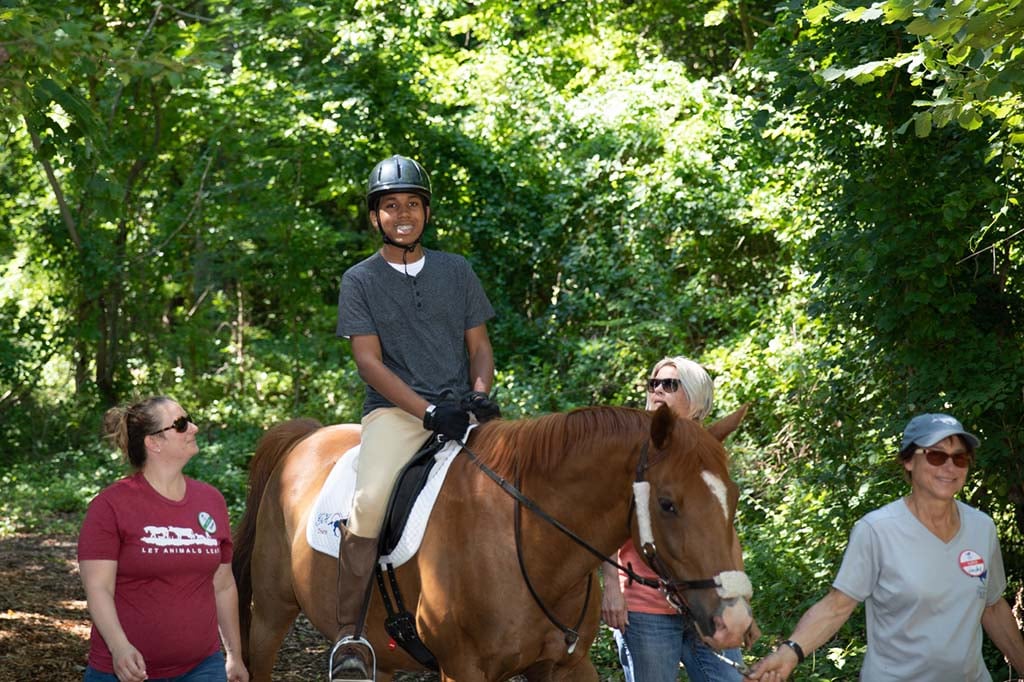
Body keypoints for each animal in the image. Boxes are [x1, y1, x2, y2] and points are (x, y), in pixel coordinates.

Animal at [235, 405, 757, 675]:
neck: (532, 543)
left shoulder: (566, 666)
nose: (734, 623)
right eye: (668, 504)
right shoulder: (462, 668)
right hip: (271, 615)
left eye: (732, 497)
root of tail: (303, 437)